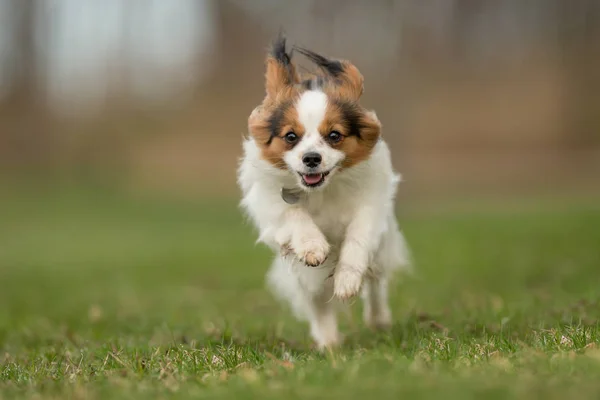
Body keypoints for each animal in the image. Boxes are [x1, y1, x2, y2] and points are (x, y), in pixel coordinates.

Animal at [237, 36, 410, 350]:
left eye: (334, 135)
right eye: (291, 136)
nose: (311, 158)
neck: (321, 190)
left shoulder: (370, 206)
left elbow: (357, 239)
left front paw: (346, 281)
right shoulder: (270, 204)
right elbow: (294, 214)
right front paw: (313, 245)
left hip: (380, 256)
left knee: (376, 284)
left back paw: (378, 320)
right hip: (306, 279)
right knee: (318, 304)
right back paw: (329, 344)